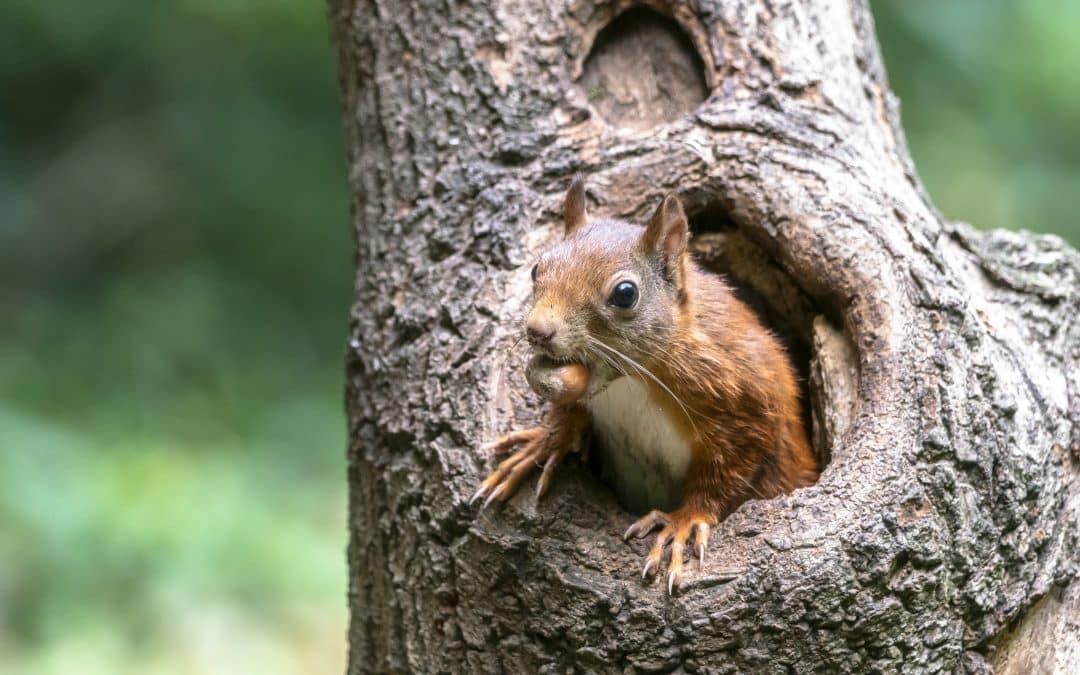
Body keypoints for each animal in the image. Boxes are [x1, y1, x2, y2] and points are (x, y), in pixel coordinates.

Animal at [472, 176, 819, 593]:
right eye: (537, 269)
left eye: (625, 294)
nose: (538, 331)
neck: (628, 383)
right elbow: (571, 404)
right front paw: (545, 440)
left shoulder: (746, 391)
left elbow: (730, 464)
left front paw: (684, 521)